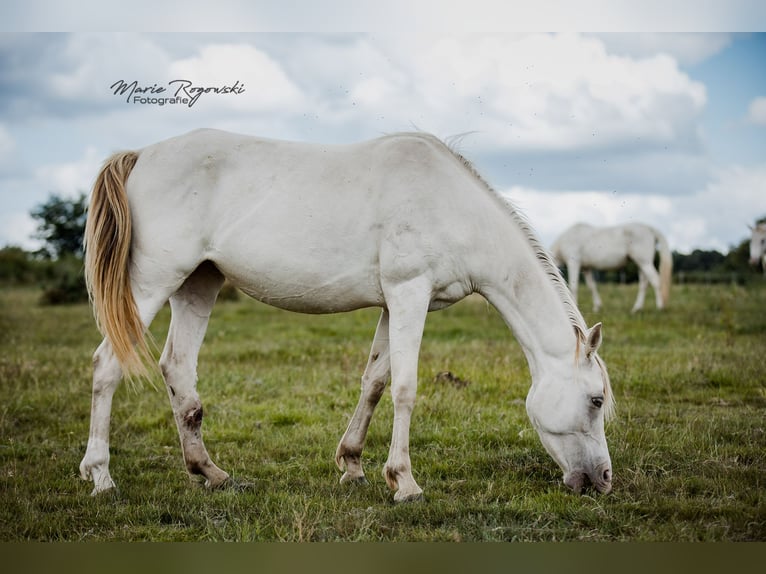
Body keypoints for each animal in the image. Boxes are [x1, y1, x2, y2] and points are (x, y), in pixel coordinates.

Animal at [80, 129, 614, 502]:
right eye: (595, 400)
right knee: (107, 365)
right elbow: (405, 388)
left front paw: (353, 465)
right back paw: (101, 476)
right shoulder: (409, 294)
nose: (603, 480)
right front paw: (405, 482)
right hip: (152, 284)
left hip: (197, 285)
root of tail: (142, 155)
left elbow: (374, 381)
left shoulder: (394, 304)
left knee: (178, 369)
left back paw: (210, 473)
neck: (454, 210)